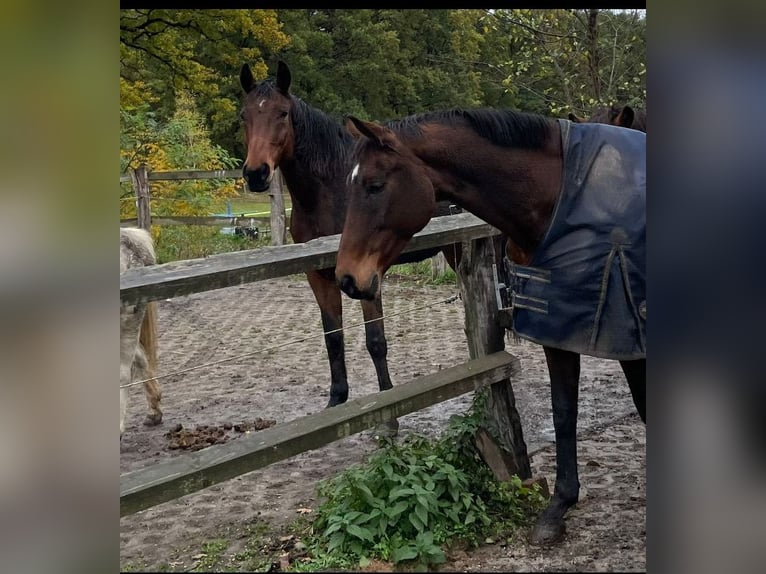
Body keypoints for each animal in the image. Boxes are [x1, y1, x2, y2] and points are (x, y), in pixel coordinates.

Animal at [240, 60, 460, 420]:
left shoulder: (368, 275)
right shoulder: (319, 275)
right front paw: (336, 399)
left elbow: (376, 341)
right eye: (245, 115)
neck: (328, 192)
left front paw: (388, 400)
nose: (256, 174)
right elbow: (333, 338)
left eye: (282, 113)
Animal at [336, 107, 648, 544]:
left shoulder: (631, 341)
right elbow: (563, 411)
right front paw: (559, 506)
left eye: (375, 185)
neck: (555, 199)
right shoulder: (559, 329)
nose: (347, 278)